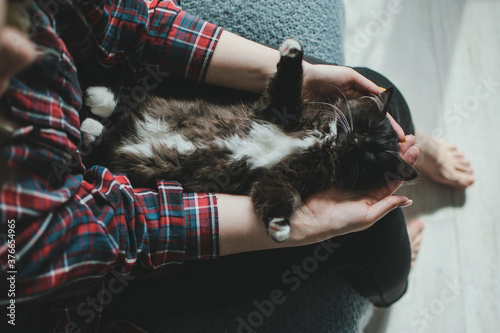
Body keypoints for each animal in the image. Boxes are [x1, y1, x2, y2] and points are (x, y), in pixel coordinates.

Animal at [81, 39, 418, 241]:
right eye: (364, 127)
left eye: (372, 154)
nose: (357, 143)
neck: (326, 142)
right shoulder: (278, 109)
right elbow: (288, 81)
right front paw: (293, 52)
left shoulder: (280, 178)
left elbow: (279, 196)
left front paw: (280, 226)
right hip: (155, 108)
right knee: (124, 107)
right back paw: (98, 100)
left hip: (125, 156)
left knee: (106, 142)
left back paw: (91, 125)